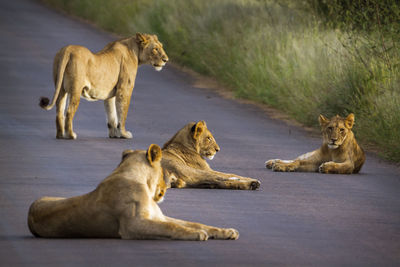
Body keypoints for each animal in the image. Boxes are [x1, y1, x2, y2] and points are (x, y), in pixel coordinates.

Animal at [29, 146, 239, 242]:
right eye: (163, 169)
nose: (168, 185)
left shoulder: (159, 217)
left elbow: (194, 223)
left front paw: (227, 231)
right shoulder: (133, 226)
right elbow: (172, 228)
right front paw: (197, 234)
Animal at [41, 33, 169, 140]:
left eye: (161, 46)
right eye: (155, 49)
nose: (166, 60)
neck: (135, 51)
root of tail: (68, 49)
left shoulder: (110, 94)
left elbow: (111, 114)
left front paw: (114, 134)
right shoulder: (125, 89)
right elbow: (122, 113)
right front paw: (124, 134)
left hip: (61, 89)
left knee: (59, 111)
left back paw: (60, 135)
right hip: (75, 90)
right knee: (69, 112)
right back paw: (71, 135)